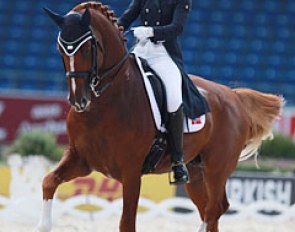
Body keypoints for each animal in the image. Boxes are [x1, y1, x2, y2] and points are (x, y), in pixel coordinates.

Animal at [37, 2, 284, 232]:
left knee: (214, 209)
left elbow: (127, 223)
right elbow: (48, 182)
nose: (79, 101)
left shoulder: (131, 173)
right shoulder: (81, 159)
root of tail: (233, 96)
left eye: (88, 48)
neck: (104, 104)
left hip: (217, 168)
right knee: (210, 210)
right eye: (60, 49)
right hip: (196, 172)